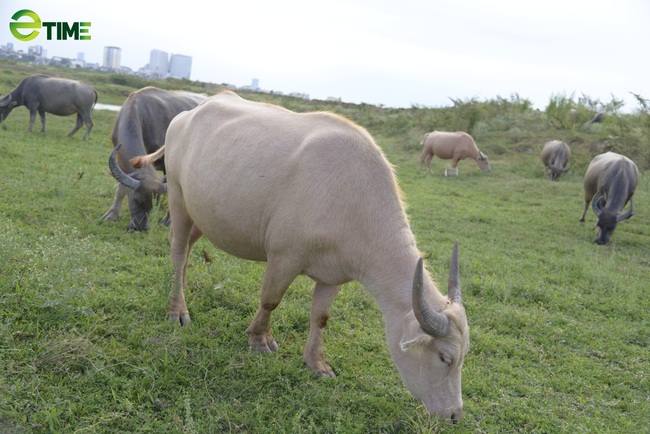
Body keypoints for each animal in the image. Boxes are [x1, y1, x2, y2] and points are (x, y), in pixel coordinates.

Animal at [101, 86, 205, 232]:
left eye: (155, 203)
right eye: (136, 200)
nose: (140, 227)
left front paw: (169, 220)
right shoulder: (120, 159)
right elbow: (121, 188)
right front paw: (112, 215)